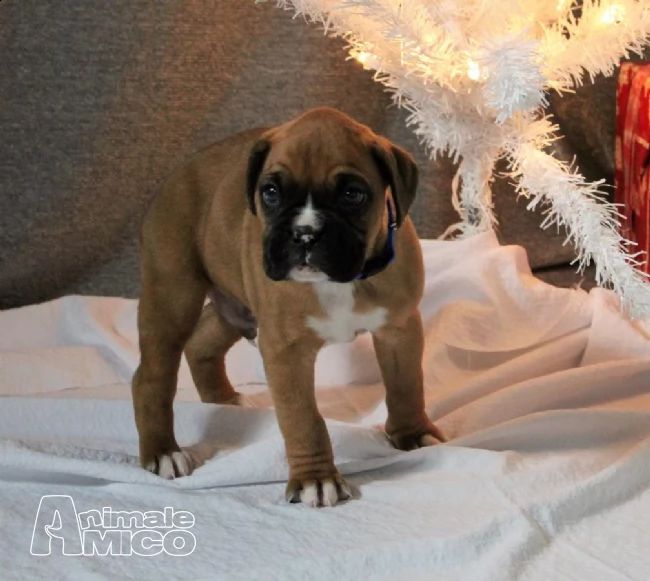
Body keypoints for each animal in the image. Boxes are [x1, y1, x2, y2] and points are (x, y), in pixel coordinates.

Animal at [132, 106, 446, 506]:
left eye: (352, 194)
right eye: (270, 192)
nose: (305, 234)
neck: (342, 281)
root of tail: (174, 177)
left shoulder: (399, 329)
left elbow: (407, 385)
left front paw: (413, 433)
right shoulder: (285, 350)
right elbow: (303, 418)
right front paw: (316, 478)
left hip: (237, 306)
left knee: (201, 343)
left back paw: (223, 400)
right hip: (173, 298)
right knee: (152, 376)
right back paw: (163, 451)